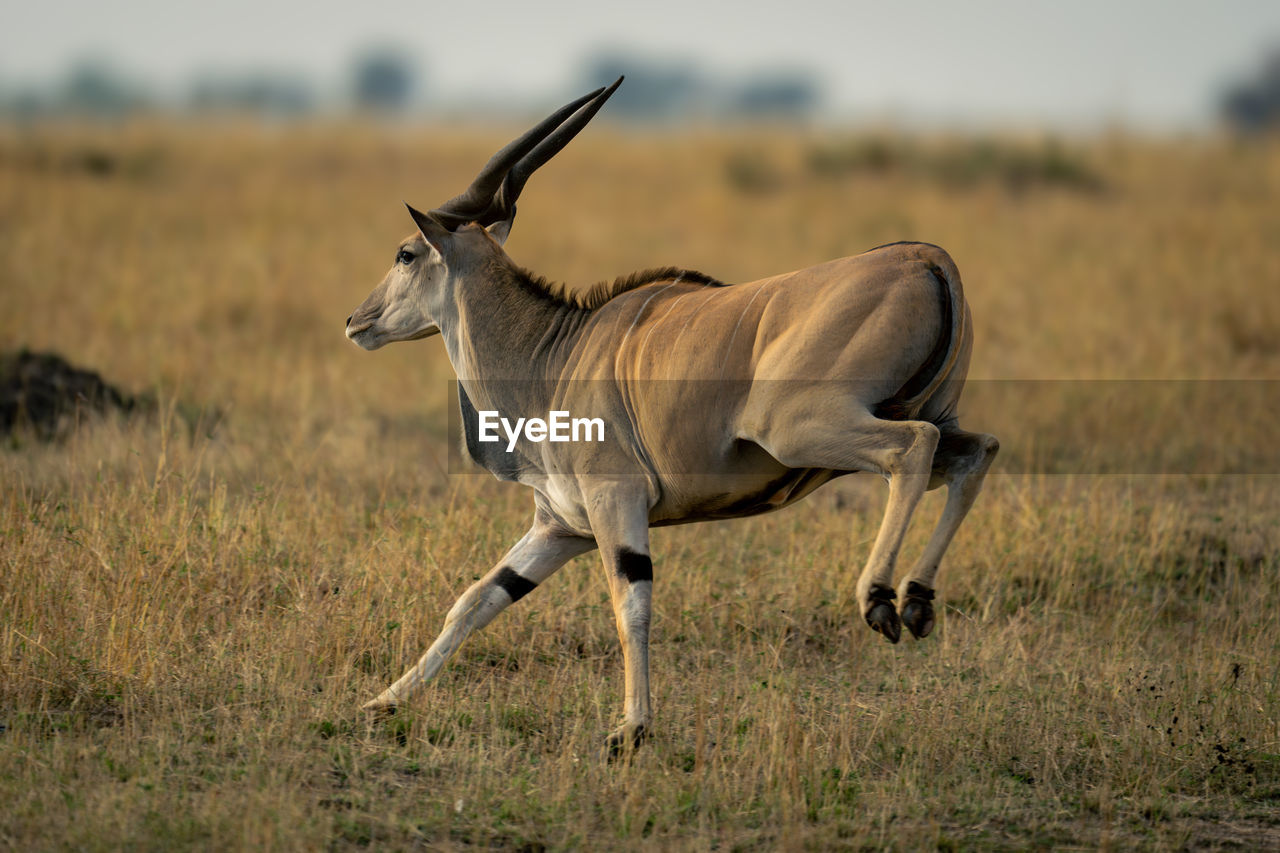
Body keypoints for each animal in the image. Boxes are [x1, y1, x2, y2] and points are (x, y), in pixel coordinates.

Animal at [348, 79, 998, 753]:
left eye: (404, 254)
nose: (356, 320)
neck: (553, 353)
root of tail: (927, 258)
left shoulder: (614, 501)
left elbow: (630, 604)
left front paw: (632, 729)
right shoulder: (561, 526)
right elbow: (478, 599)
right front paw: (383, 701)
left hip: (806, 430)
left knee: (912, 448)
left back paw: (879, 598)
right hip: (909, 424)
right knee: (975, 452)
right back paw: (918, 600)